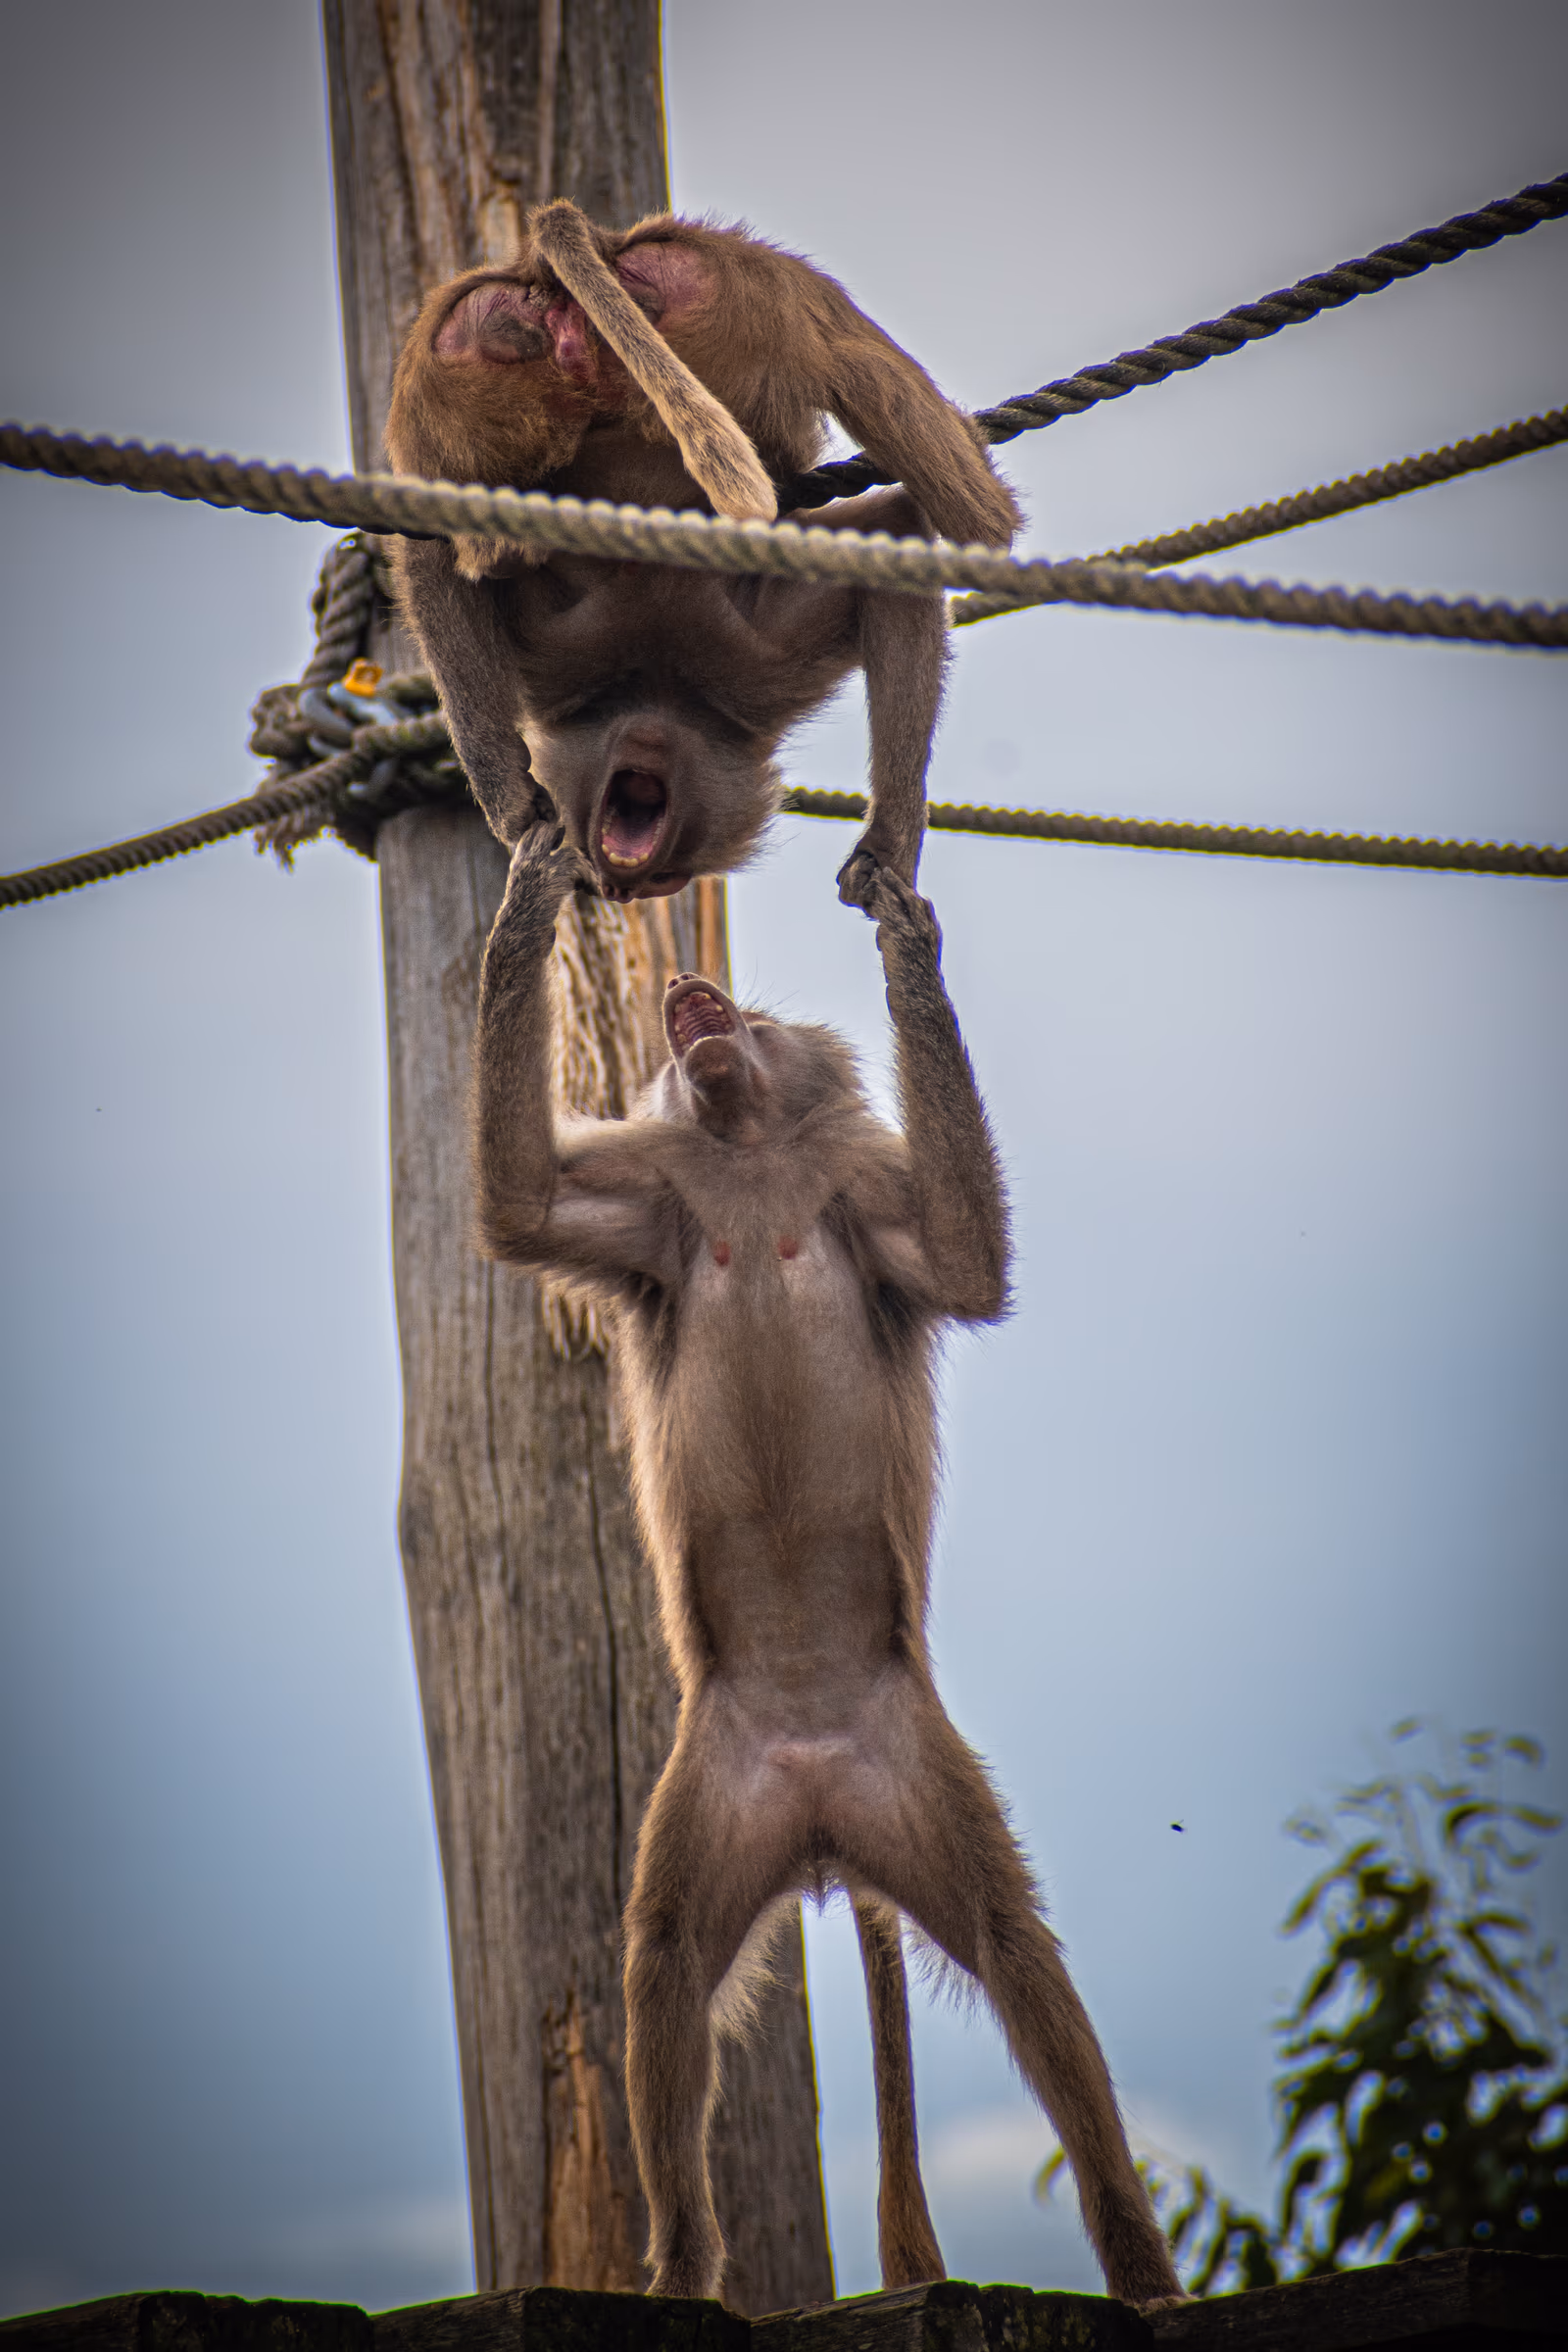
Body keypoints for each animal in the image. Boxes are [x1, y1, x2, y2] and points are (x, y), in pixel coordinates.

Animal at [386, 201, 1023, 909]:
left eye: (665, 878)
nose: (622, 889)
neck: (656, 686)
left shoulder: (745, 659)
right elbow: (895, 533)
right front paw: (891, 845)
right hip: (761, 297)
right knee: (959, 497)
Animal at [471, 826, 1185, 2310]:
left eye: (739, 1017)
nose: (693, 998)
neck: (748, 1155)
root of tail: (815, 1818)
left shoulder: (861, 1201)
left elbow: (965, 1261)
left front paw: (907, 941)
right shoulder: (646, 1207)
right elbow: (520, 1204)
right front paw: (529, 895)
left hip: (904, 1766)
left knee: (1015, 1948)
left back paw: (1140, 2264)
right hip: (721, 1781)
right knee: (666, 1967)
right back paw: (687, 2267)